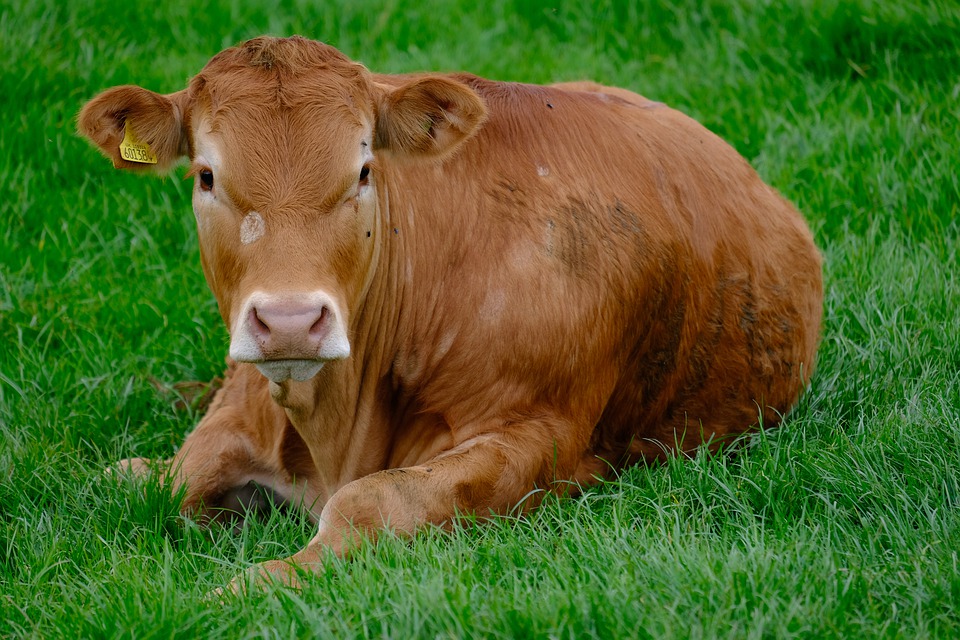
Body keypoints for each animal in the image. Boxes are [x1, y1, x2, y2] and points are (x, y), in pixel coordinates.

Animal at [79, 33, 820, 584]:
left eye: (364, 170)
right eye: (206, 175)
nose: (290, 322)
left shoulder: (539, 435)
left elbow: (372, 501)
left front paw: (248, 584)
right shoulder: (245, 396)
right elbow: (140, 480)